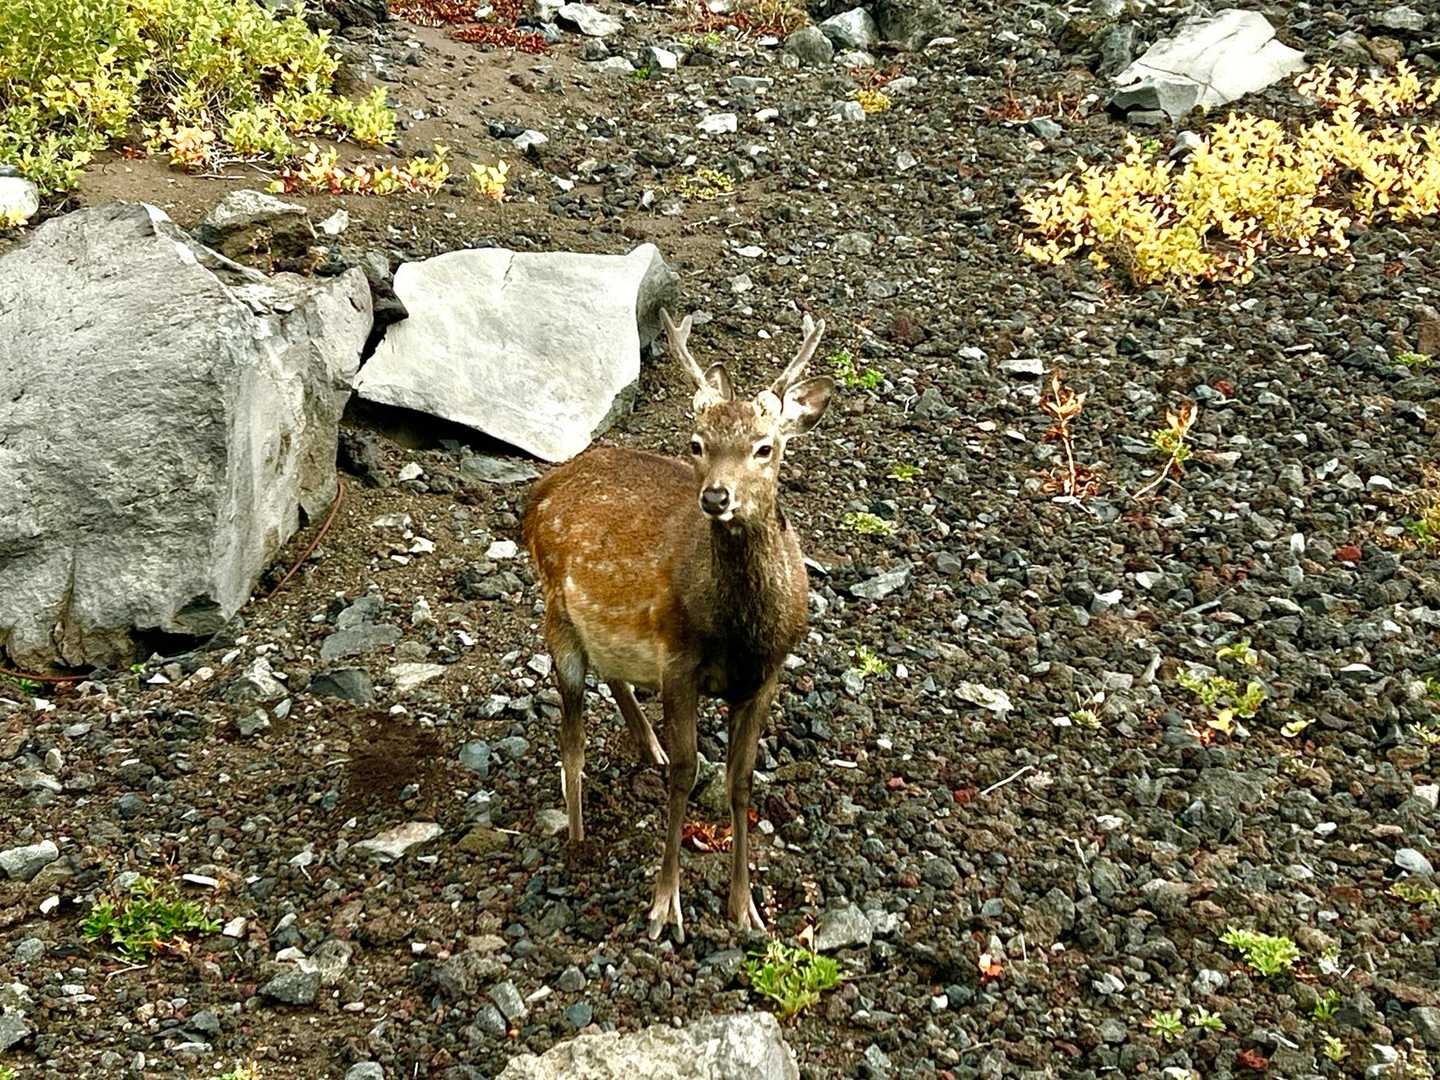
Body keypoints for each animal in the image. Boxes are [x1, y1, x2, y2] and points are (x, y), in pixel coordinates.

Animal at [521, 308, 833, 942]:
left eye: (765, 447)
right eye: (697, 444)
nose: (716, 496)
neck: (740, 632)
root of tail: (540, 492)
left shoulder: (768, 674)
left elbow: (741, 782)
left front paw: (745, 908)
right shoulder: (679, 661)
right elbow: (688, 774)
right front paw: (666, 907)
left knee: (612, 675)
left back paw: (647, 745)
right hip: (555, 612)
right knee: (572, 735)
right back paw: (578, 837)